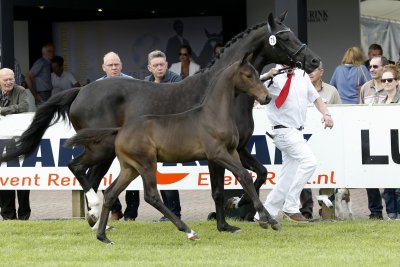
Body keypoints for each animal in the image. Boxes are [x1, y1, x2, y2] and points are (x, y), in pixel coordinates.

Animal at [0, 11, 318, 233]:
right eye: (285, 37)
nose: (314, 61)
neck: (221, 92)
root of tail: (81, 91)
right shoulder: (217, 153)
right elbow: (224, 186)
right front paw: (233, 217)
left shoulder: (237, 148)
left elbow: (260, 173)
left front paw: (235, 214)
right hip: (101, 148)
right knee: (79, 169)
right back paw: (95, 214)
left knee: (90, 177)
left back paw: (97, 220)